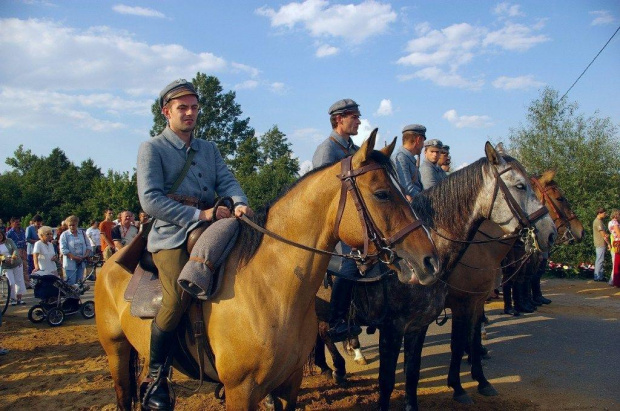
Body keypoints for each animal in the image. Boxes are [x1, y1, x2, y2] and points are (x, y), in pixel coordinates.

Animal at [95, 130, 440, 411]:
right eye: (382, 194)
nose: (430, 261)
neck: (271, 289)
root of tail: (110, 262)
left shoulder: (289, 384)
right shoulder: (240, 391)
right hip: (116, 350)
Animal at [444, 169, 584, 404]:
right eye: (560, 198)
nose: (579, 232)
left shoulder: (476, 300)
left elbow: (473, 334)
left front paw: (481, 377)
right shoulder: (461, 302)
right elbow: (458, 341)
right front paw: (457, 386)